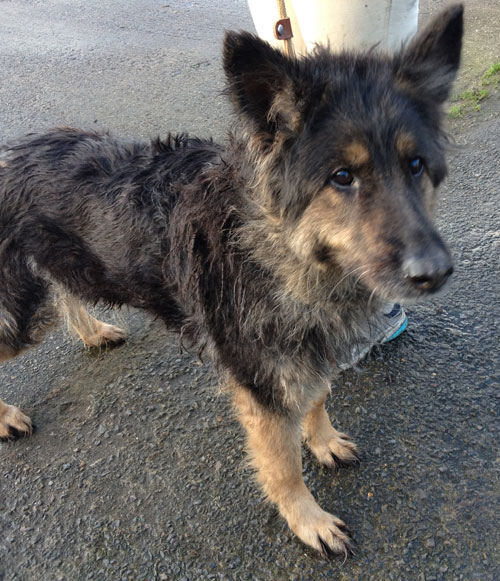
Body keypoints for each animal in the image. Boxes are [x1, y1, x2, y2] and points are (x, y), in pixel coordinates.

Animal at [0, 4, 462, 556]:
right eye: (342, 177)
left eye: (415, 165)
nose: (435, 272)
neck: (270, 241)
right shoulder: (259, 381)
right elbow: (283, 466)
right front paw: (307, 519)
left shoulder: (304, 349)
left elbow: (318, 398)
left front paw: (323, 440)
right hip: (19, 309)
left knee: (67, 293)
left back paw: (93, 333)